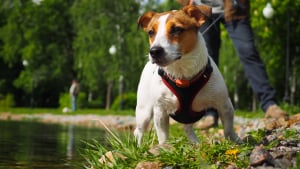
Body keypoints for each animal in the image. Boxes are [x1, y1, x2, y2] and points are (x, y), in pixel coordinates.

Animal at [134, 4, 239, 145]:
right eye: (151, 32)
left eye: (176, 29)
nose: (154, 51)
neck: (182, 74)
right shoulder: (160, 111)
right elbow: (163, 136)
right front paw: (163, 147)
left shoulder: (224, 104)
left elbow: (228, 128)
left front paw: (234, 141)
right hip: (144, 111)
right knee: (139, 131)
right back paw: (138, 147)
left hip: (188, 115)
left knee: (187, 128)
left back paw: (195, 143)